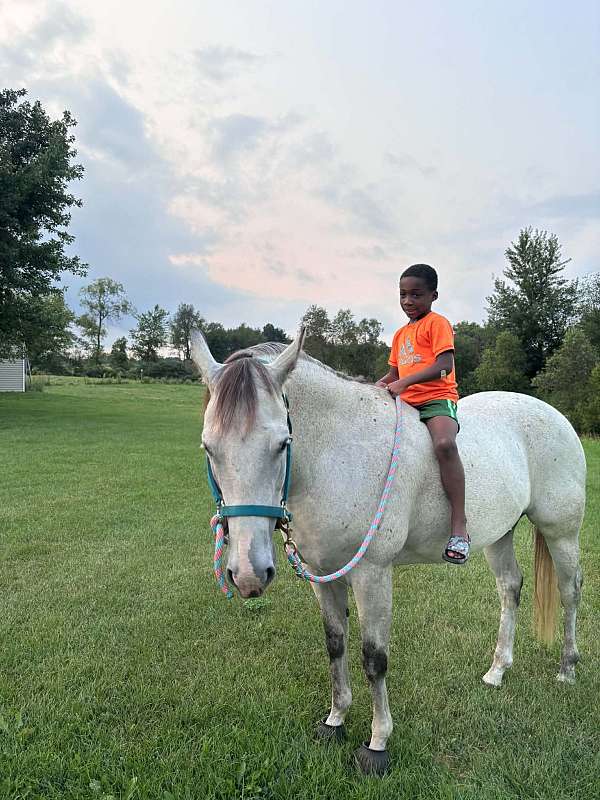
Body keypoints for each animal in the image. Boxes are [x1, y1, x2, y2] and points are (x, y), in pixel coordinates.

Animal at [191, 328, 586, 775]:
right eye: (209, 447)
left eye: (282, 444)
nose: (248, 574)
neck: (338, 455)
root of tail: (556, 417)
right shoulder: (322, 574)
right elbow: (335, 645)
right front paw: (336, 720)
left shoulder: (372, 573)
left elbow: (374, 658)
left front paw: (377, 744)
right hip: (500, 533)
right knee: (510, 588)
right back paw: (497, 671)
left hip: (561, 532)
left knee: (570, 592)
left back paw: (567, 668)